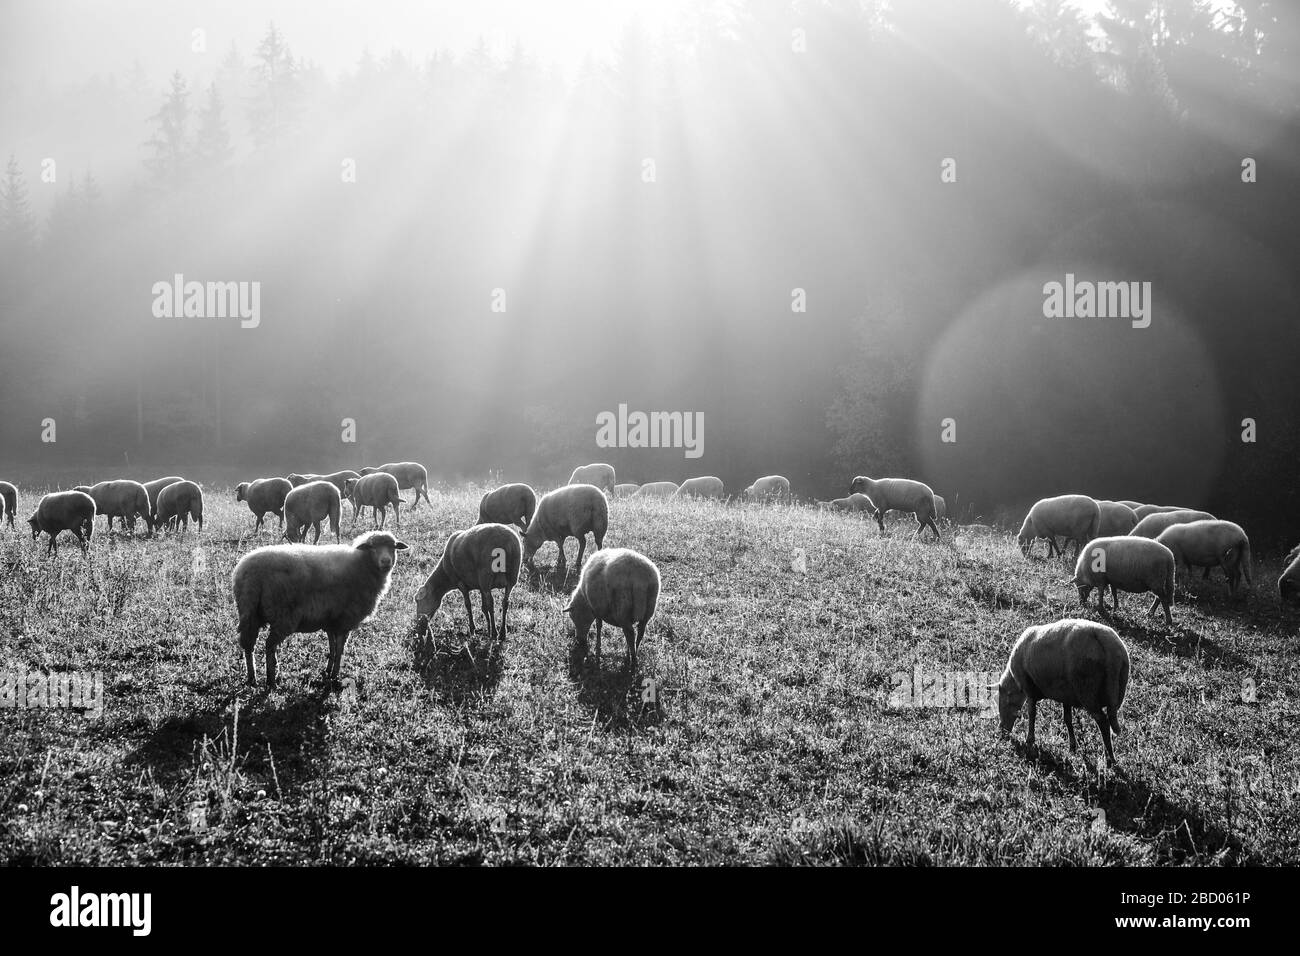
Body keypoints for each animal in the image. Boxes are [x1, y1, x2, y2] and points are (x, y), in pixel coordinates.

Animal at [231, 530, 408, 686]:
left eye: (393, 546)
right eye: (372, 547)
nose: (386, 561)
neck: (361, 565)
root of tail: (250, 573)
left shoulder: (330, 620)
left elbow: (332, 647)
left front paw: (328, 671)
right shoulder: (345, 619)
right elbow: (340, 649)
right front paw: (335, 676)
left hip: (249, 612)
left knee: (249, 645)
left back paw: (252, 679)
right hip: (283, 616)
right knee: (269, 646)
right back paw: (271, 681)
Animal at [998, 621, 1133, 770]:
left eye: (1003, 703)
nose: (1002, 730)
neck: (1016, 685)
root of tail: (1109, 648)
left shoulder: (1030, 690)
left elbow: (1031, 714)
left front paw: (1030, 740)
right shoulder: (1066, 695)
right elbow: (1067, 719)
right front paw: (1072, 746)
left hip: (1087, 691)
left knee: (1103, 722)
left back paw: (1109, 759)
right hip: (1114, 691)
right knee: (1108, 720)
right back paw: (1109, 755)